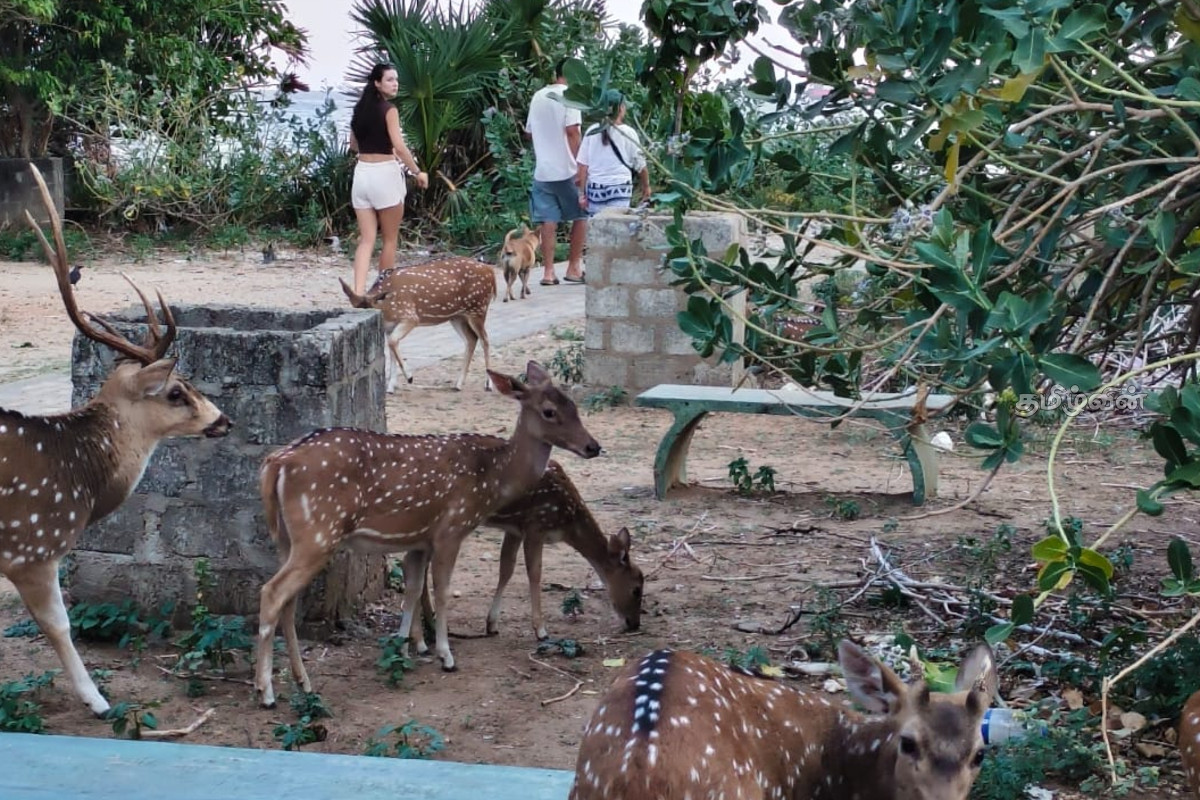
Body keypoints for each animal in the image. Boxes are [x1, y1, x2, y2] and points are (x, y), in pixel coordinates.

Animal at [253, 360, 601, 708]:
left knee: (287, 601)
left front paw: (403, 647)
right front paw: (445, 656)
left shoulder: (421, 540)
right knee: (271, 592)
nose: (593, 446)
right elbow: (441, 590)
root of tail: (276, 463)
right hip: (319, 532)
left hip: (287, 539)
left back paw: (303, 682)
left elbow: (413, 589)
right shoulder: (451, 528)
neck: (493, 478)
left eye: (574, 405)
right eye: (549, 411)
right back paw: (266, 691)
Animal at [340, 256, 497, 393]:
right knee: (471, 339)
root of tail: (491, 272)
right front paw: (390, 387)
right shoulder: (389, 327)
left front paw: (409, 377)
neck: (387, 307)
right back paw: (458, 384)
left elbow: (392, 342)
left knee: (485, 339)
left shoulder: (410, 317)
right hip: (458, 316)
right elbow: (391, 348)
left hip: (478, 308)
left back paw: (488, 384)